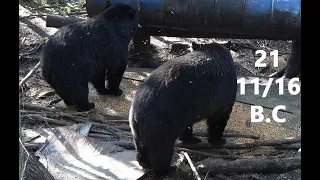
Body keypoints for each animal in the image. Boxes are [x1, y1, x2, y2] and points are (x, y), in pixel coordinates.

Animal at [129, 41, 236, 176]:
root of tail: (137, 112)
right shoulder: (222, 94)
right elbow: (218, 119)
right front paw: (218, 140)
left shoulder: (188, 108)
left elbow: (188, 125)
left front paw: (191, 138)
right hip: (162, 122)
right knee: (161, 150)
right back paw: (165, 169)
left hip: (138, 128)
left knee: (141, 146)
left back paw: (144, 162)